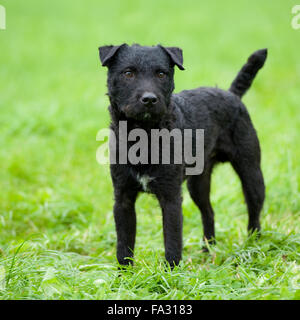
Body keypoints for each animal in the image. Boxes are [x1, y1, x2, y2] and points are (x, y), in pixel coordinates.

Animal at [99, 43, 268, 268]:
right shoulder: (123, 198)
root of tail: (231, 94)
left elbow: (172, 241)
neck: (144, 137)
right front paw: (123, 275)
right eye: (128, 73)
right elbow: (124, 245)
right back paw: (207, 251)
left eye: (161, 73)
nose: (149, 99)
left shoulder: (171, 197)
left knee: (254, 214)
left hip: (251, 173)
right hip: (197, 185)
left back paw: (252, 246)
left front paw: (171, 273)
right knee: (209, 212)